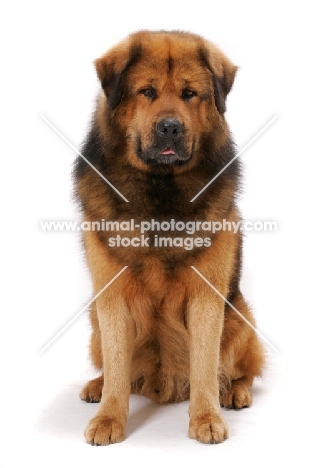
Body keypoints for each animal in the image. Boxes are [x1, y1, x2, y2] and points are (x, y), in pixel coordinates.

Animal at [74, 30, 264, 446]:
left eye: (190, 94)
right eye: (146, 91)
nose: (171, 128)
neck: (161, 192)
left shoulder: (207, 297)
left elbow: (205, 364)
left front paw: (206, 417)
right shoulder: (112, 298)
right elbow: (117, 366)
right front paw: (109, 417)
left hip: (239, 318)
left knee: (244, 369)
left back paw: (235, 392)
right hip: (94, 319)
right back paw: (96, 386)